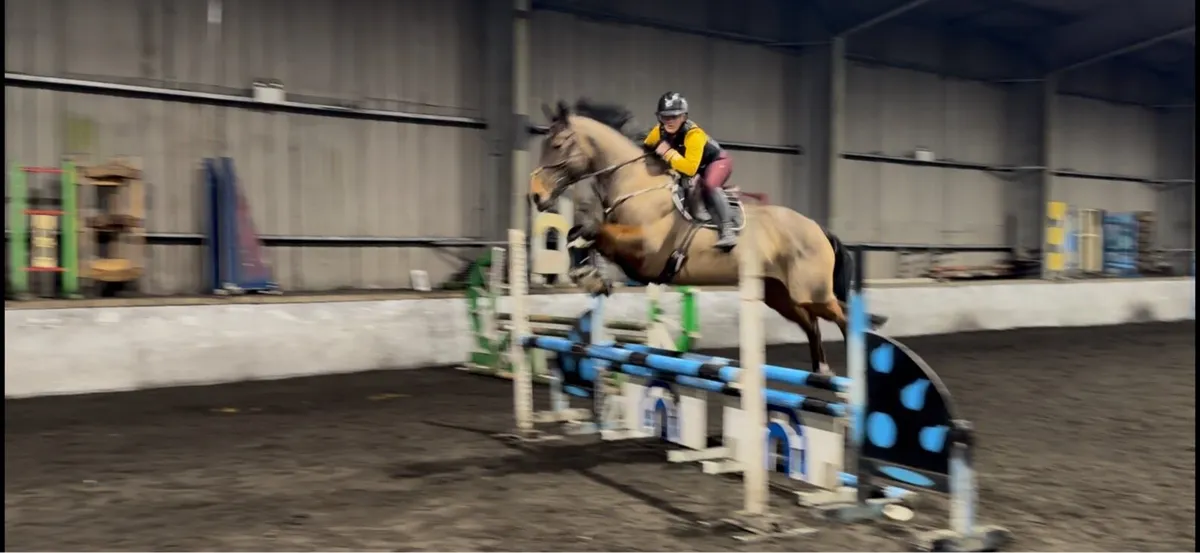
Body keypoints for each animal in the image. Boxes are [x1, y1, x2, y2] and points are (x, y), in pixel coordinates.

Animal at [528, 99, 885, 375]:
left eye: (557, 145)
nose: (536, 196)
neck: (636, 185)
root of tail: (817, 228)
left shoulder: (644, 253)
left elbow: (592, 231)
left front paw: (589, 275)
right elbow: (579, 233)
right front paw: (589, 276)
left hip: (812, 292)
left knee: (843, 316)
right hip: (782, 295)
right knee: (812, 322)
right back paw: (821, 371)